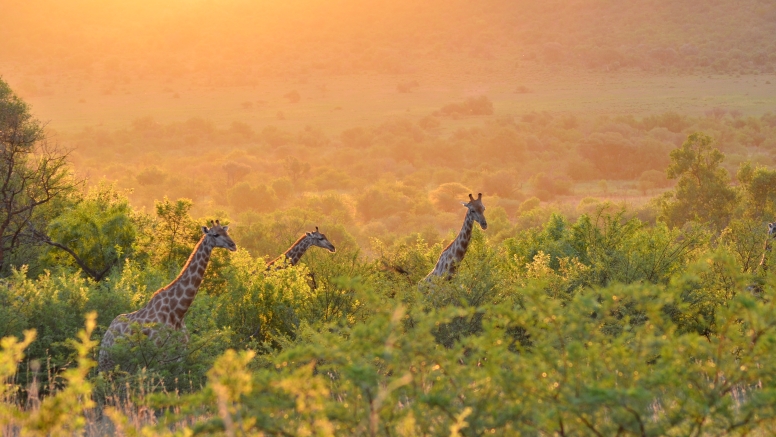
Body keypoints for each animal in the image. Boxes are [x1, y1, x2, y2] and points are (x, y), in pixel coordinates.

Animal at [98, 220, 235, 370]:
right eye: (215, 234)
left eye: (226, 231)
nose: (233, 245)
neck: (178, 312)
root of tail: (105, 337)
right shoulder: (159, 356)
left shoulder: (180, 355)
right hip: (108, 363)